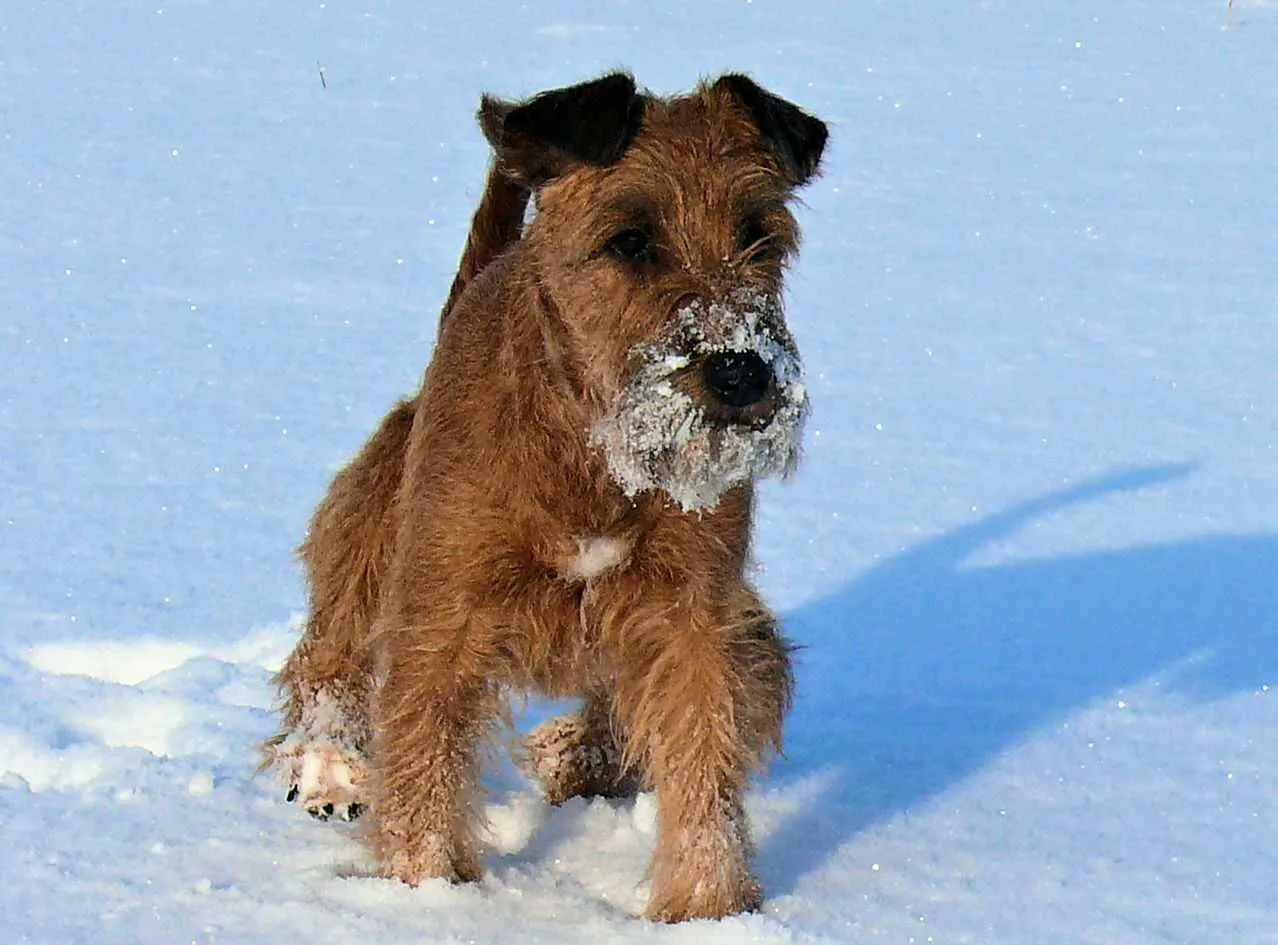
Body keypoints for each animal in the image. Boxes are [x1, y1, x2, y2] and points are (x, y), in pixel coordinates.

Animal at [268, 73, 828, 925]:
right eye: (630, 239)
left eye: (758, 234)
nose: (742, 372)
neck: (590, 454)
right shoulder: (444, 612)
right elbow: (424, 762)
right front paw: (421, 894)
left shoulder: (696, 616)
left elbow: (704, 760)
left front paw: (708, 910)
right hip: (374, 512)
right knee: (330, 646)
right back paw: (328, 763)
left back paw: (583, 756)